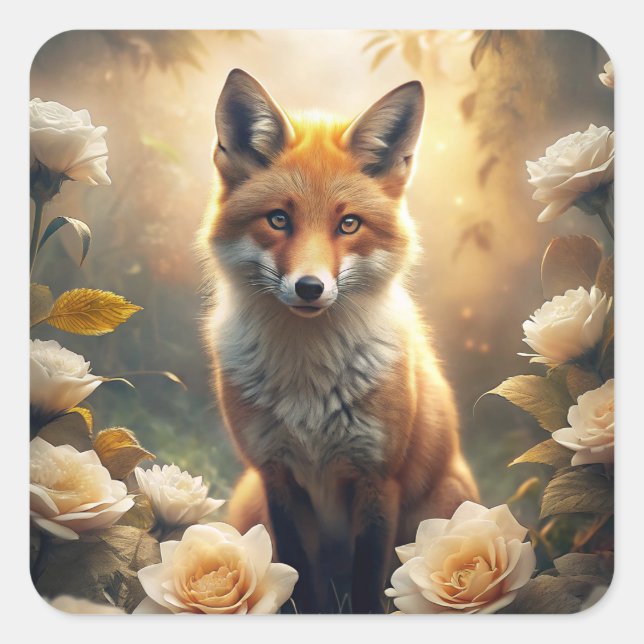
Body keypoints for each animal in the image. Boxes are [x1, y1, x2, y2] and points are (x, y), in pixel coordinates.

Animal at [199, 69, 479, 614]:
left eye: (348, 224)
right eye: (278, 219)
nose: (310, 287)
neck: (308, 383)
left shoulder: (378, 479)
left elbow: (369, 587)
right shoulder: (277, 477)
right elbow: (299, 581)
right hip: (248, 503)